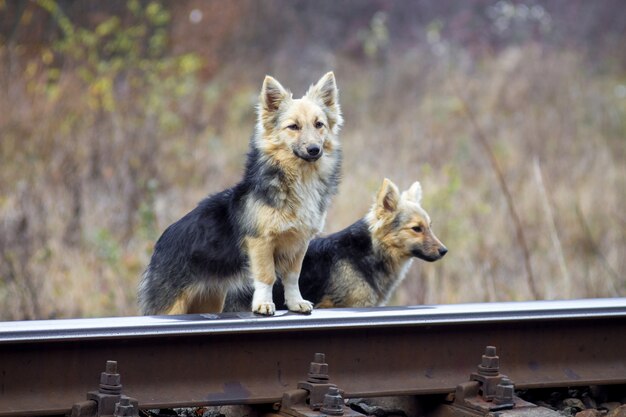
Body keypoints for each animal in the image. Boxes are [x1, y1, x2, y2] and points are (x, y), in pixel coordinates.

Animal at [138, 72, 342, 316]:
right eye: (293, 127)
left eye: (319, 124)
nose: (314, 150)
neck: (299, 179)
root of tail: (159, 245)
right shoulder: (260, 242)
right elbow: (266, 276)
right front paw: (263, 304)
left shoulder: (298, 245)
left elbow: (292, 277)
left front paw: (295, 303)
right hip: (171, 307)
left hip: (209, 300)